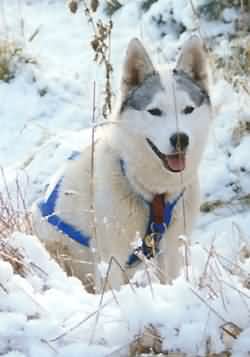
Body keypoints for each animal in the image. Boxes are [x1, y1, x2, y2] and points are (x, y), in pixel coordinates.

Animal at [32, 36, 213, 290]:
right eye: (154, 111)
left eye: (188, 109)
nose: (180, 139)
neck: (155, 194)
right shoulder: (110, 255)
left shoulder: (172, 248)